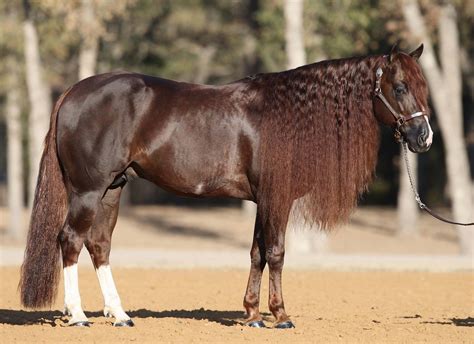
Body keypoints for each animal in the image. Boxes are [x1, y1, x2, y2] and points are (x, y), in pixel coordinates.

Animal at [20, 45, 432, 328]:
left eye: (423, 86)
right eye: (399, 87)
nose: (423, 137)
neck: (291, 117)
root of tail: (74, 91)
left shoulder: (263, 200)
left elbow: (257, 253)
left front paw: (252, 315)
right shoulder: (277, 198)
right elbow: (277, 253)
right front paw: (281, 315)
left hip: (112, 190)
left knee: (99, 245)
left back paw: (120, 314)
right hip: (88, 191)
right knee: (70, 240)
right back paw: (78, 315)